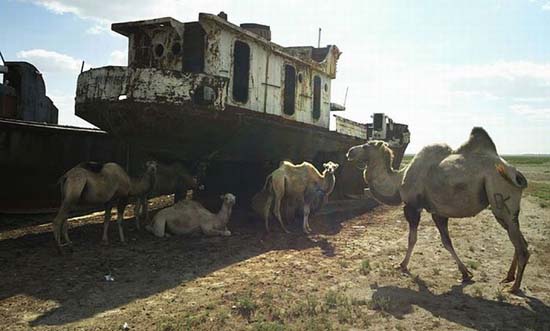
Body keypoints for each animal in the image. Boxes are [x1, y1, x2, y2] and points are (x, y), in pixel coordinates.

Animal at [348, 127, 532, 294]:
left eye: (367, 145)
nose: (350, 152)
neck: (398, 181)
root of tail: (515, 173)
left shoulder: (413, 207)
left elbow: (412, 239)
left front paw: (402, 265)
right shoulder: (437, 212)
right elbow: (446, 241)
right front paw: (466, 273)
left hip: (500, 197)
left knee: (521, 246)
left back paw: (514, 287)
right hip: (505, 209)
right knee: (518, 240)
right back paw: (508, 278)